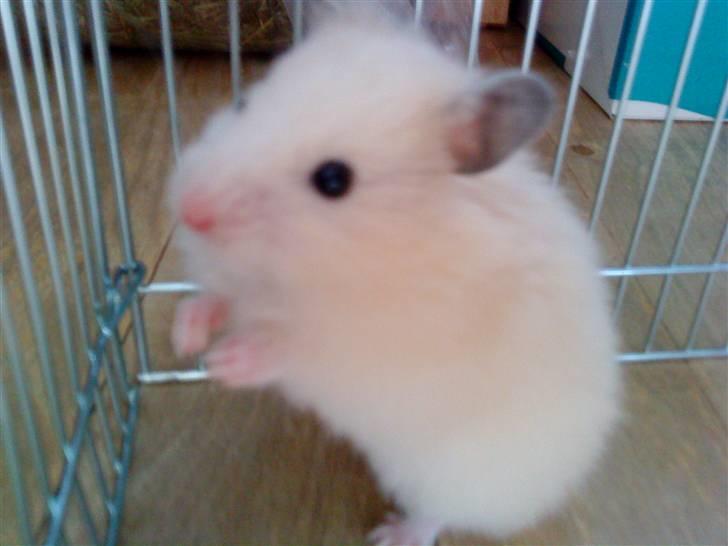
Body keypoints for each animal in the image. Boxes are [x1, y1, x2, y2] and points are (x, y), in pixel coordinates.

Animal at [168, 12, 621, 546]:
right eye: (243, 104)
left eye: (334, 179)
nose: (190, 210)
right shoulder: (243, 287)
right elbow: (217, 300)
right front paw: (186, 338)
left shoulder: (365, 354)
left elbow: (292, 349)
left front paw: (226, 363)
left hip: (449, 476)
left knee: (437, 515)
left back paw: (390, 533)